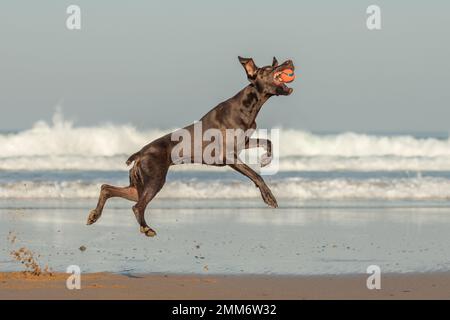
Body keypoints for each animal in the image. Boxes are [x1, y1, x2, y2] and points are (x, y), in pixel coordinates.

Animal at [87, 57, 296, 238]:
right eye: (269, 69)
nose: (289, 61)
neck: (249, 104)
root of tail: (140, 154)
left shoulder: (243, 143)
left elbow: (268, 142)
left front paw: (266, 159)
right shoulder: (229, 156)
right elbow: (256, 175)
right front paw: (269, 197)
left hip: (138, 185)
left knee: (107, 189)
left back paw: (95, 215)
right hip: (154, 179)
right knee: (137, 206)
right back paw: (146, 228)